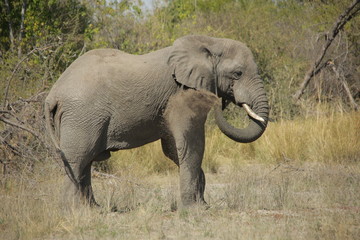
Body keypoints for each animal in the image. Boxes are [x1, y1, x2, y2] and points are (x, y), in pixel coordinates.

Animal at [45, 34, 268, 208]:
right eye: (237, 74)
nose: (222, 101)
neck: (209, 42)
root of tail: (53, 95)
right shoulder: (182, 94)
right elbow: (191, 144)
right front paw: (195, 209)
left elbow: (173, 148)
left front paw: (202, 203)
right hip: (81, 116)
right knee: (78, 158)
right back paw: (75, 211)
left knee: (85, 160)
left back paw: (93, 209)